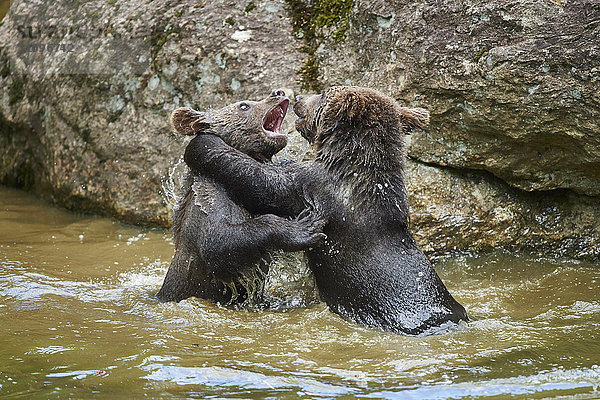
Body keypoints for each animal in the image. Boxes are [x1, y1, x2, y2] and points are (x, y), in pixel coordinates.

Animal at [183, 86, 468, 334]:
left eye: (322, 92)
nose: (297, 97)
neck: (348, 163)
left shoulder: (317, 190)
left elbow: (264, 182)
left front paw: (202, 144)